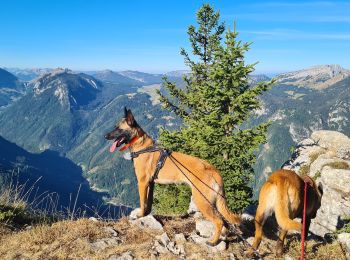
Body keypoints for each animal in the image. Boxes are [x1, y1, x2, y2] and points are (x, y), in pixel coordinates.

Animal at [104, 108, 241, 246]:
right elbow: (149, 202)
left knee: (219, 221)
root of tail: (214, 171)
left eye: (119, 129)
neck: (142, 145)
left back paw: (213, 241)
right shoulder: (151, 183)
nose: (105, 136)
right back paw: (223, 236)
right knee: (224, 222)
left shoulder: (142, 182)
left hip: (202, 201)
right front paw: (147, 213)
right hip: (212, 202)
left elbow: (143, 202)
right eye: (115, 127)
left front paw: (140, 215)